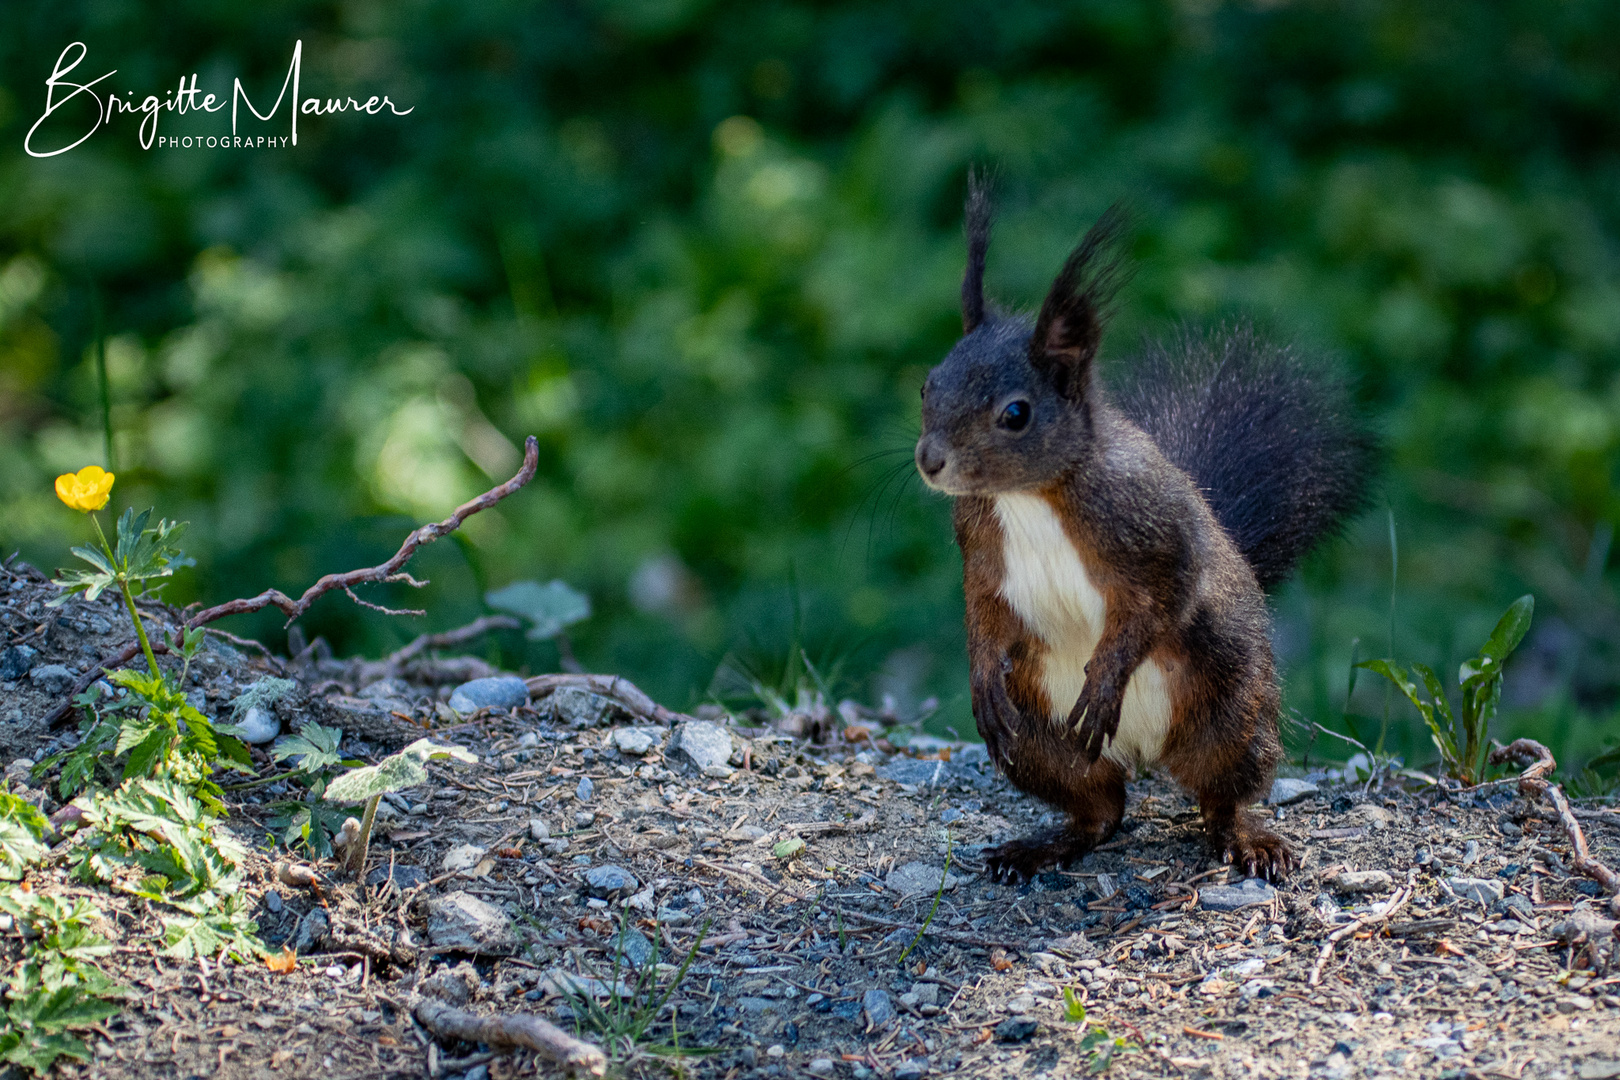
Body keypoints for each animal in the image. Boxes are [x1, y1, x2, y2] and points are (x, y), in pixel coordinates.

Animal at [920, 181, 1373, 880]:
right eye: (927, 385)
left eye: (1016, 414)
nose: (930, 460)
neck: (1028, 498)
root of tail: (1145, 754)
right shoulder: (981, 548)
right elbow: (983, 609)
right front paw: (981, 679)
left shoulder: (1152, 526)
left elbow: (1159, 601)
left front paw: (1106, 678)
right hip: (1042, 738)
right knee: (1101, 810)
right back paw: (1041, 846)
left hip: (1232, 711)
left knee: (1223, 794)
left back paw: (1247, 839)